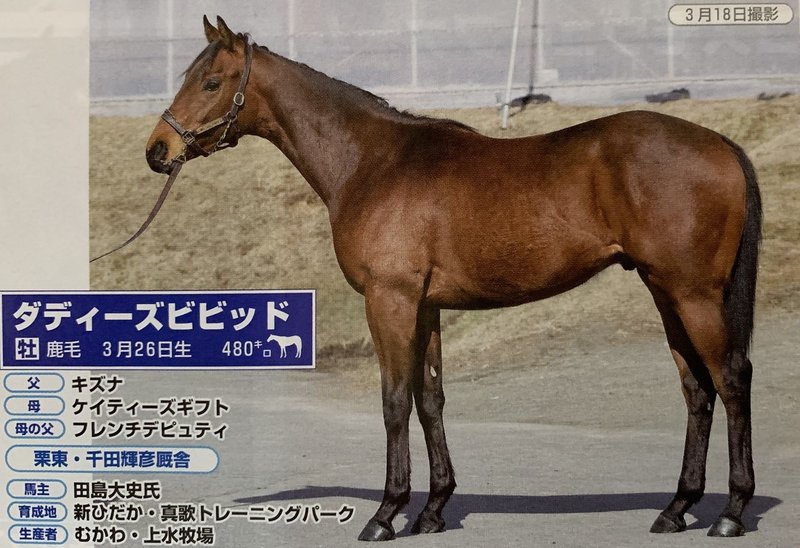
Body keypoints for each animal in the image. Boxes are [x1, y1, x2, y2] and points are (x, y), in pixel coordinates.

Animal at [145, 16, 761, 541]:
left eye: (211, 82)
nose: (158, 150)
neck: (373, 162)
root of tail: (720, 144)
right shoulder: (426, 305)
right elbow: (431, 399)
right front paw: (434, 509)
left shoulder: (389, 300)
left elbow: (395, 400)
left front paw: (387, 513)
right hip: (664, 292)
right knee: (696, 389)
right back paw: (676, 508)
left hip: (692, 293)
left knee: (730, 379)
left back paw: (730, 512)